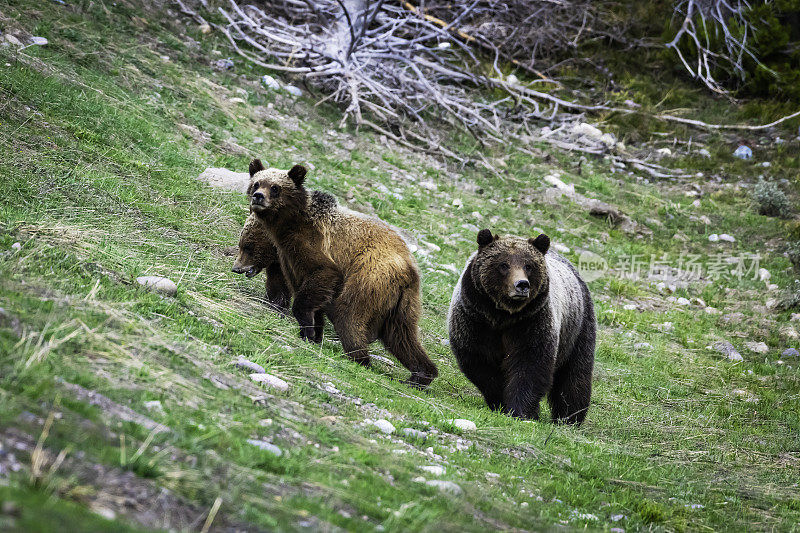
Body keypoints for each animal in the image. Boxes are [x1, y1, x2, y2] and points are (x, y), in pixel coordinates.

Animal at [247, 158, 440, 386]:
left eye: (275, 187)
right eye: (257, 183)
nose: (258, 196)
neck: (290, 223)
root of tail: (409, 268)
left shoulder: (314, 245)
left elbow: (321, 277)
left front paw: (307, 330)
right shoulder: (289, 257)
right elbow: (312, 296)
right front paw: (313, 333)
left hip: (369, 277)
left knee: (349, 314)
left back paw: (359, 358)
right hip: (403, 302)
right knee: (402, 335)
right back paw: (421, 374)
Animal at [450, 229, 592, 424]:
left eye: (528, 266)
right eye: (503, 264)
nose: (522, 285)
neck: (502, 315)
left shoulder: (531, 322)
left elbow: (530, 366)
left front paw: (521, 410)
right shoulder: (475, 318)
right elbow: (482, 365)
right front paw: (500, 402)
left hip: (577, 328)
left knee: (575, 376)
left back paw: (570, 417)